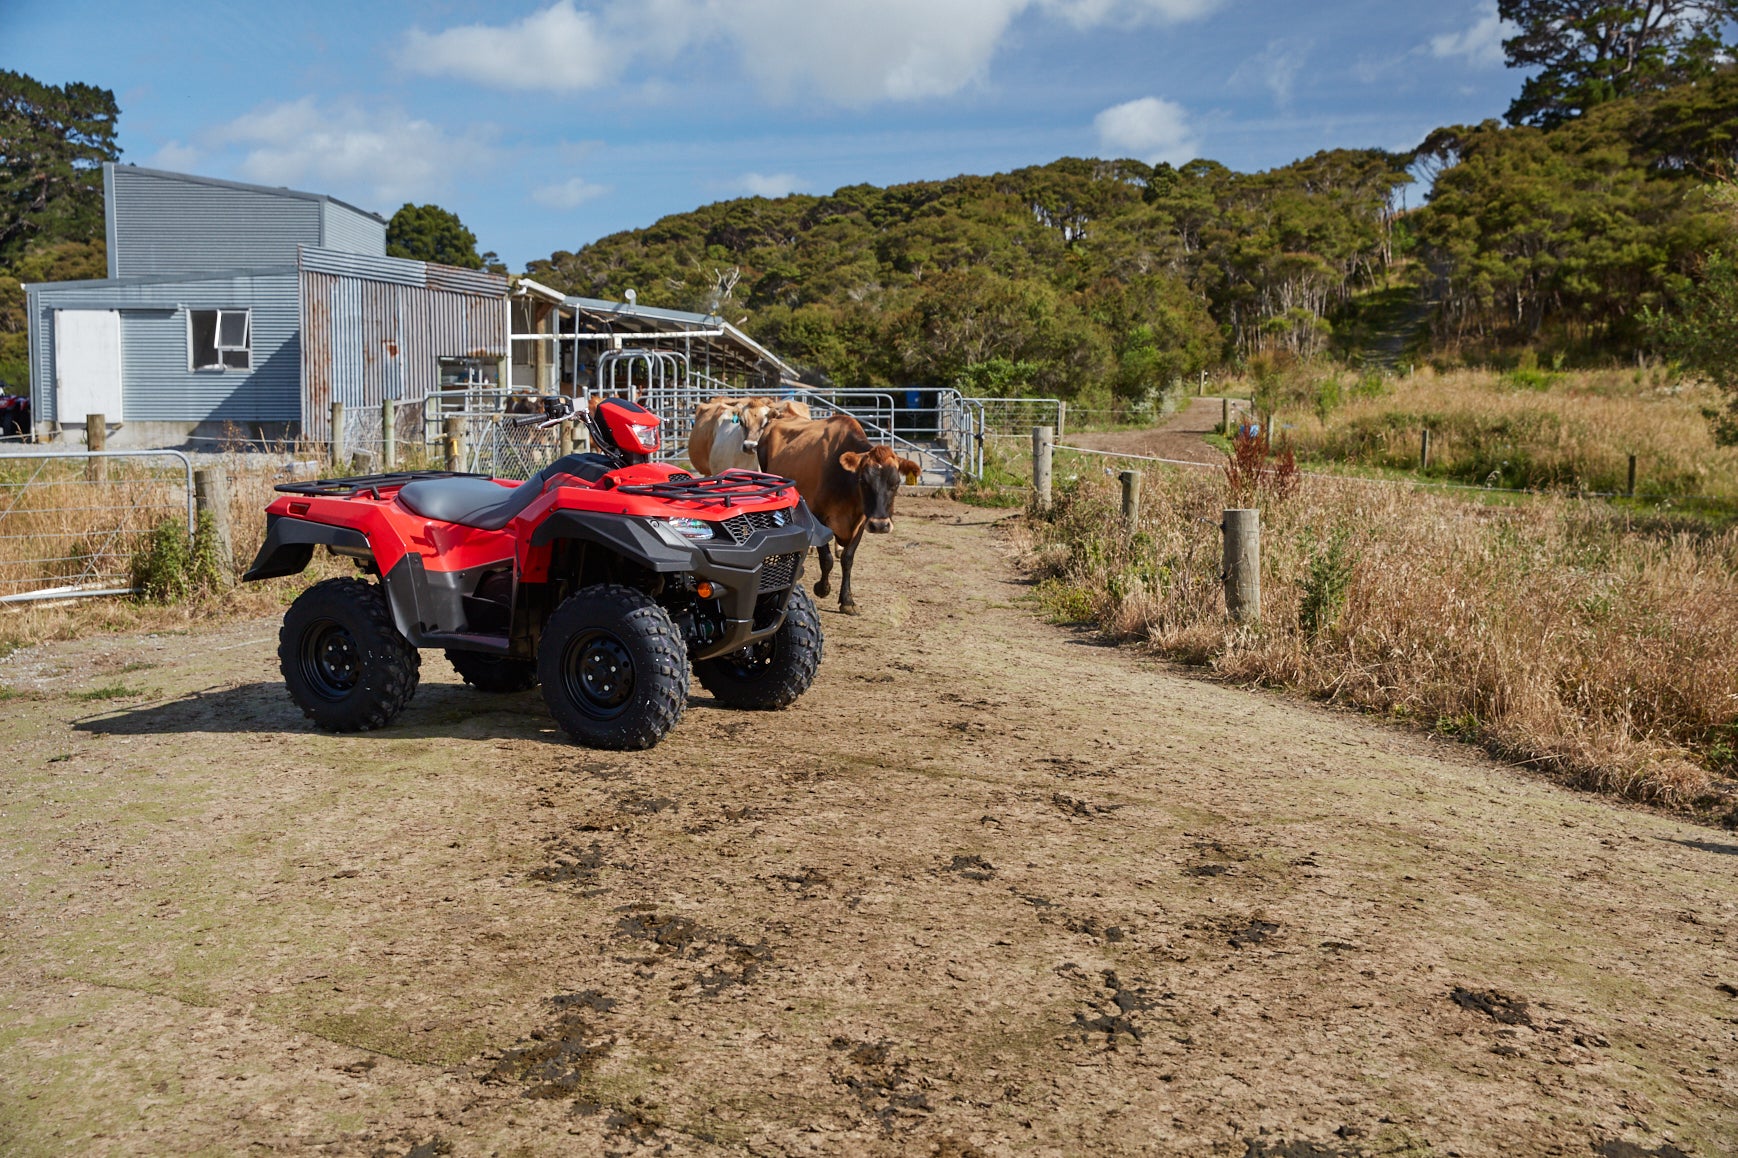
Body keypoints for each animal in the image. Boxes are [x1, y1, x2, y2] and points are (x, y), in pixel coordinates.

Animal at [761, 412, 924, 612]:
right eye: (863, 481)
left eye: (896, 483)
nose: (880, 525)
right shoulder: (818, 517)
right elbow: (827, 559)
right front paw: (822, 588)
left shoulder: (862, 521)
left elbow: (847, 558)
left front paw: (847, 600)